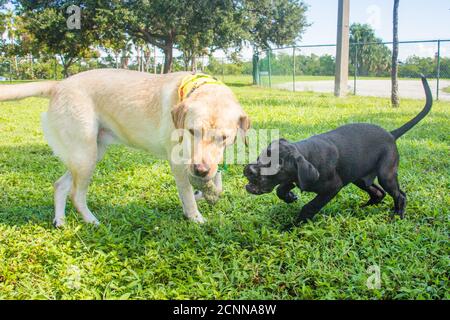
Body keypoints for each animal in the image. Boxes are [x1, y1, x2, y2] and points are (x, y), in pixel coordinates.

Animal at [244, 75, 434, 225]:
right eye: (261, 156)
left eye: (277, 166)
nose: (248, 169)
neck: (307, 153)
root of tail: (391, 134)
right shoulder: (296, 177)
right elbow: (280, 189)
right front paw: (290, 197)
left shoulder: (333, 187)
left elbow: (309, 206)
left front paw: (292, 226)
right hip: (360, 177)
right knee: (378, 193)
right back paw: (361, 208)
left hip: (386, 174)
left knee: (399, 195)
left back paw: (397, 215)